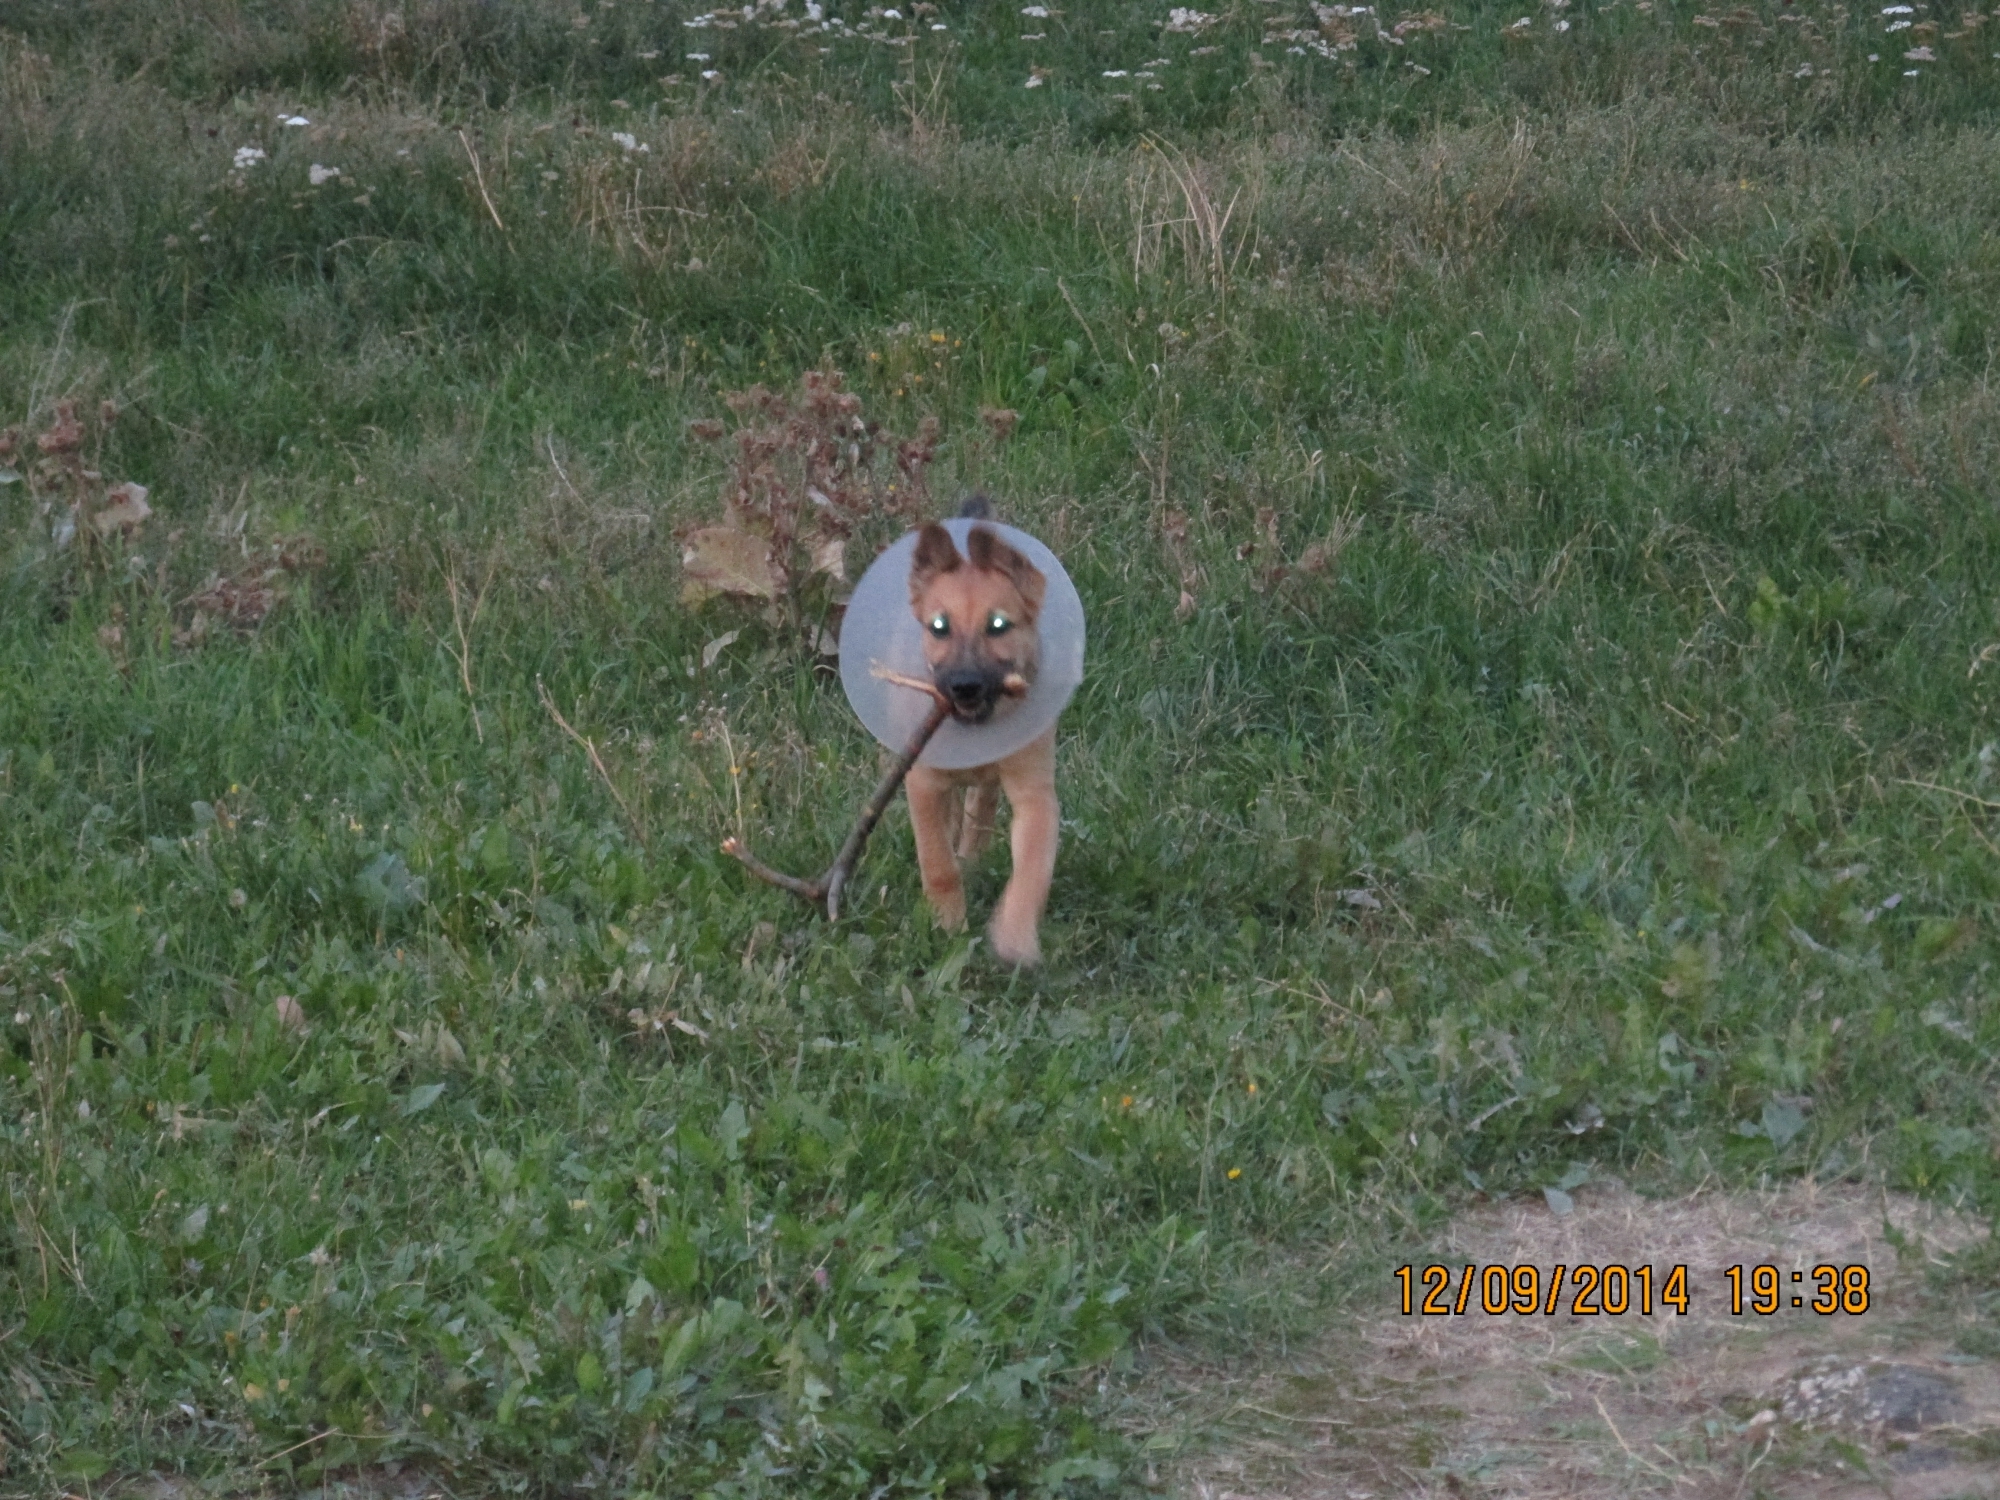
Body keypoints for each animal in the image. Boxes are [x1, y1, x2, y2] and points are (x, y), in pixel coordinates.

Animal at [908, 516, 1064, 964]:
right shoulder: (922, 783)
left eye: (998, 626)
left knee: (981, 803)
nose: (964, 687)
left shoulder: (1035, 794)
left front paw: (1015, 936)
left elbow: (1032, 869)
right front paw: (948, 927)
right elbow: (938, 862)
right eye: (939, 627)